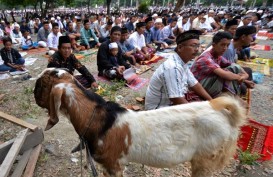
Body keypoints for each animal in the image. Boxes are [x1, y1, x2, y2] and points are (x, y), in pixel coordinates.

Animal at [34, 68, 246, 177]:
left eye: (42, 85)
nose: (35, 96)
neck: (99, 120)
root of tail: (228, 116)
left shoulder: (113, 165)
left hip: (205, 159)